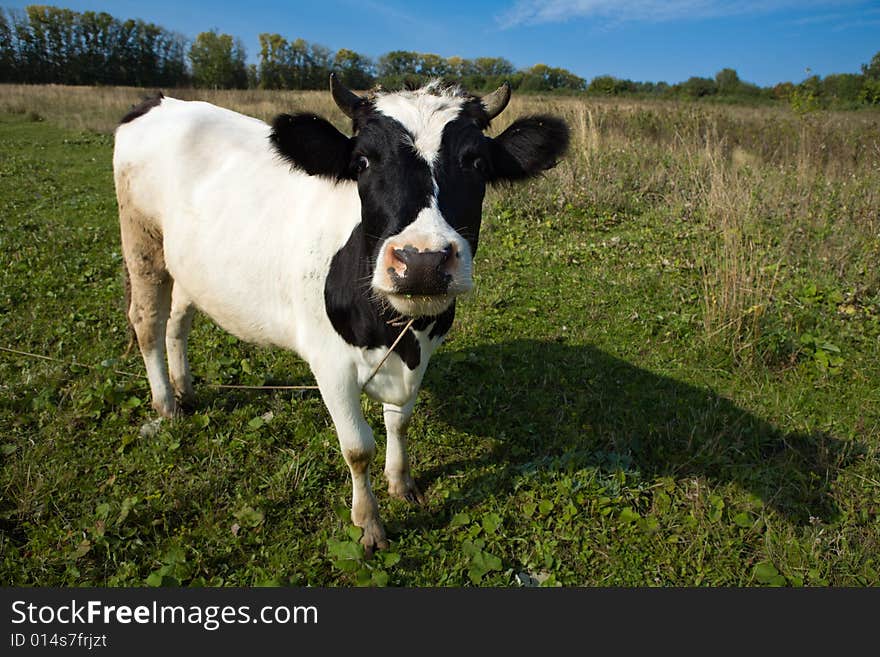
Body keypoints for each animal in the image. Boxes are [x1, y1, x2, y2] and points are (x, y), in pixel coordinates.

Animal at [113, 74, 572, 552]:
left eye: (477, 163)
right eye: (363, 162)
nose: (422, 262)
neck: (398, 332)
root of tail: (162, 100)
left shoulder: (424, 353)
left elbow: (400, 422)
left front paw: (401, 482)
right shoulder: (328, 362)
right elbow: (357, 447)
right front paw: (368, 523)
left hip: (188, 265)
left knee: (179, 319)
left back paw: (184, 388)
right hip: (140, 241)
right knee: (148, 322)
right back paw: (166, 403)